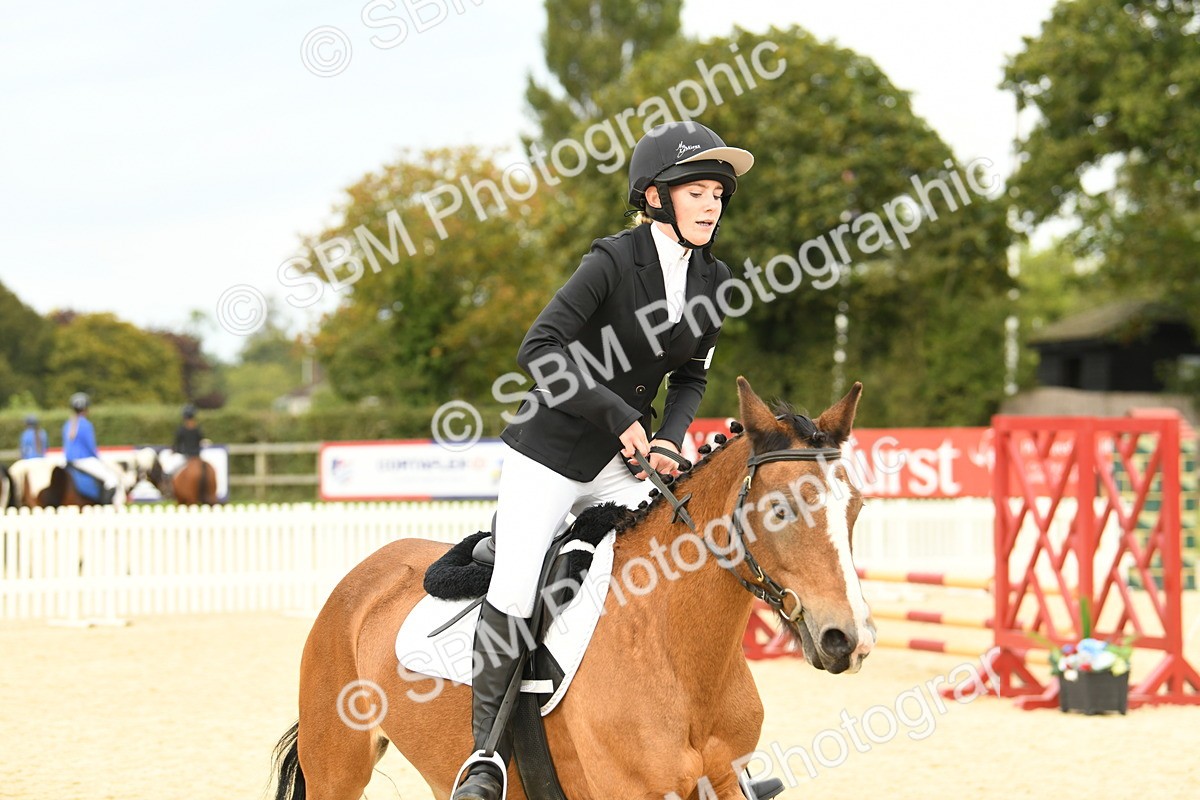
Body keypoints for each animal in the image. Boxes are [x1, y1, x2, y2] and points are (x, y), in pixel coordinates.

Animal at [271, 377, 876, 800]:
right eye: (779, 509)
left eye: (857, 508)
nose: (849, 639)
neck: (674, 652)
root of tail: (364, 575)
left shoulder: (723, 783)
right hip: (337, 768)